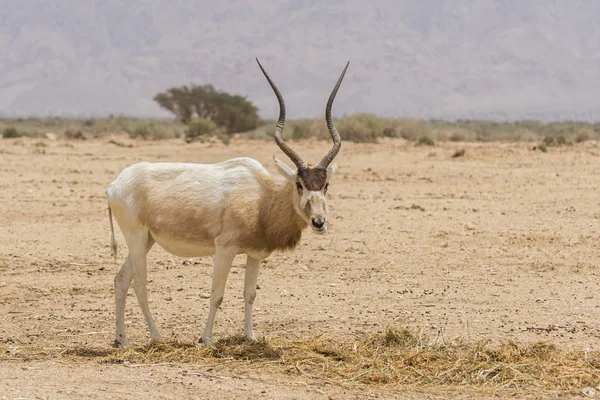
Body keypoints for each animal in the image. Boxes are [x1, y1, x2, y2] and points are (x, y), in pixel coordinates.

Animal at [105, 59, 350, 346]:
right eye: (299, 184)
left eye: (326, 185)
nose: (319, 222)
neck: (263, 196)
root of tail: (114, 185)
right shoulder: (224, 249)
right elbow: (217, 294)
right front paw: (206, 339)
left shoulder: (255, 254)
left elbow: (250, 294)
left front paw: (250, 336)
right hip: (136, 237)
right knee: (139, 285)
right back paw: (157, 338)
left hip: (146, 241)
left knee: (121, 280)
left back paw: (121, 339)